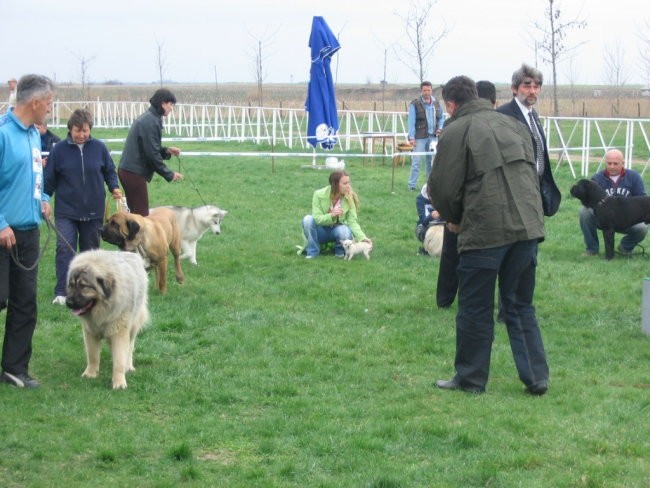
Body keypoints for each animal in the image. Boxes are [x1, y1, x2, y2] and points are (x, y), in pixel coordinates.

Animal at [65, 250, 149, 390]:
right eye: (71, 285)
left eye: (83, 286)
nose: (68, 302)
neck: (103, 310)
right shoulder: (90, 331)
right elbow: (93, 355)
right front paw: (90, 373)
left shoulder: (119, 332)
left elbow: (120, 358)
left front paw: (119, 382)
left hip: (133, 325)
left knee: (130, 347)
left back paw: (128, 366)